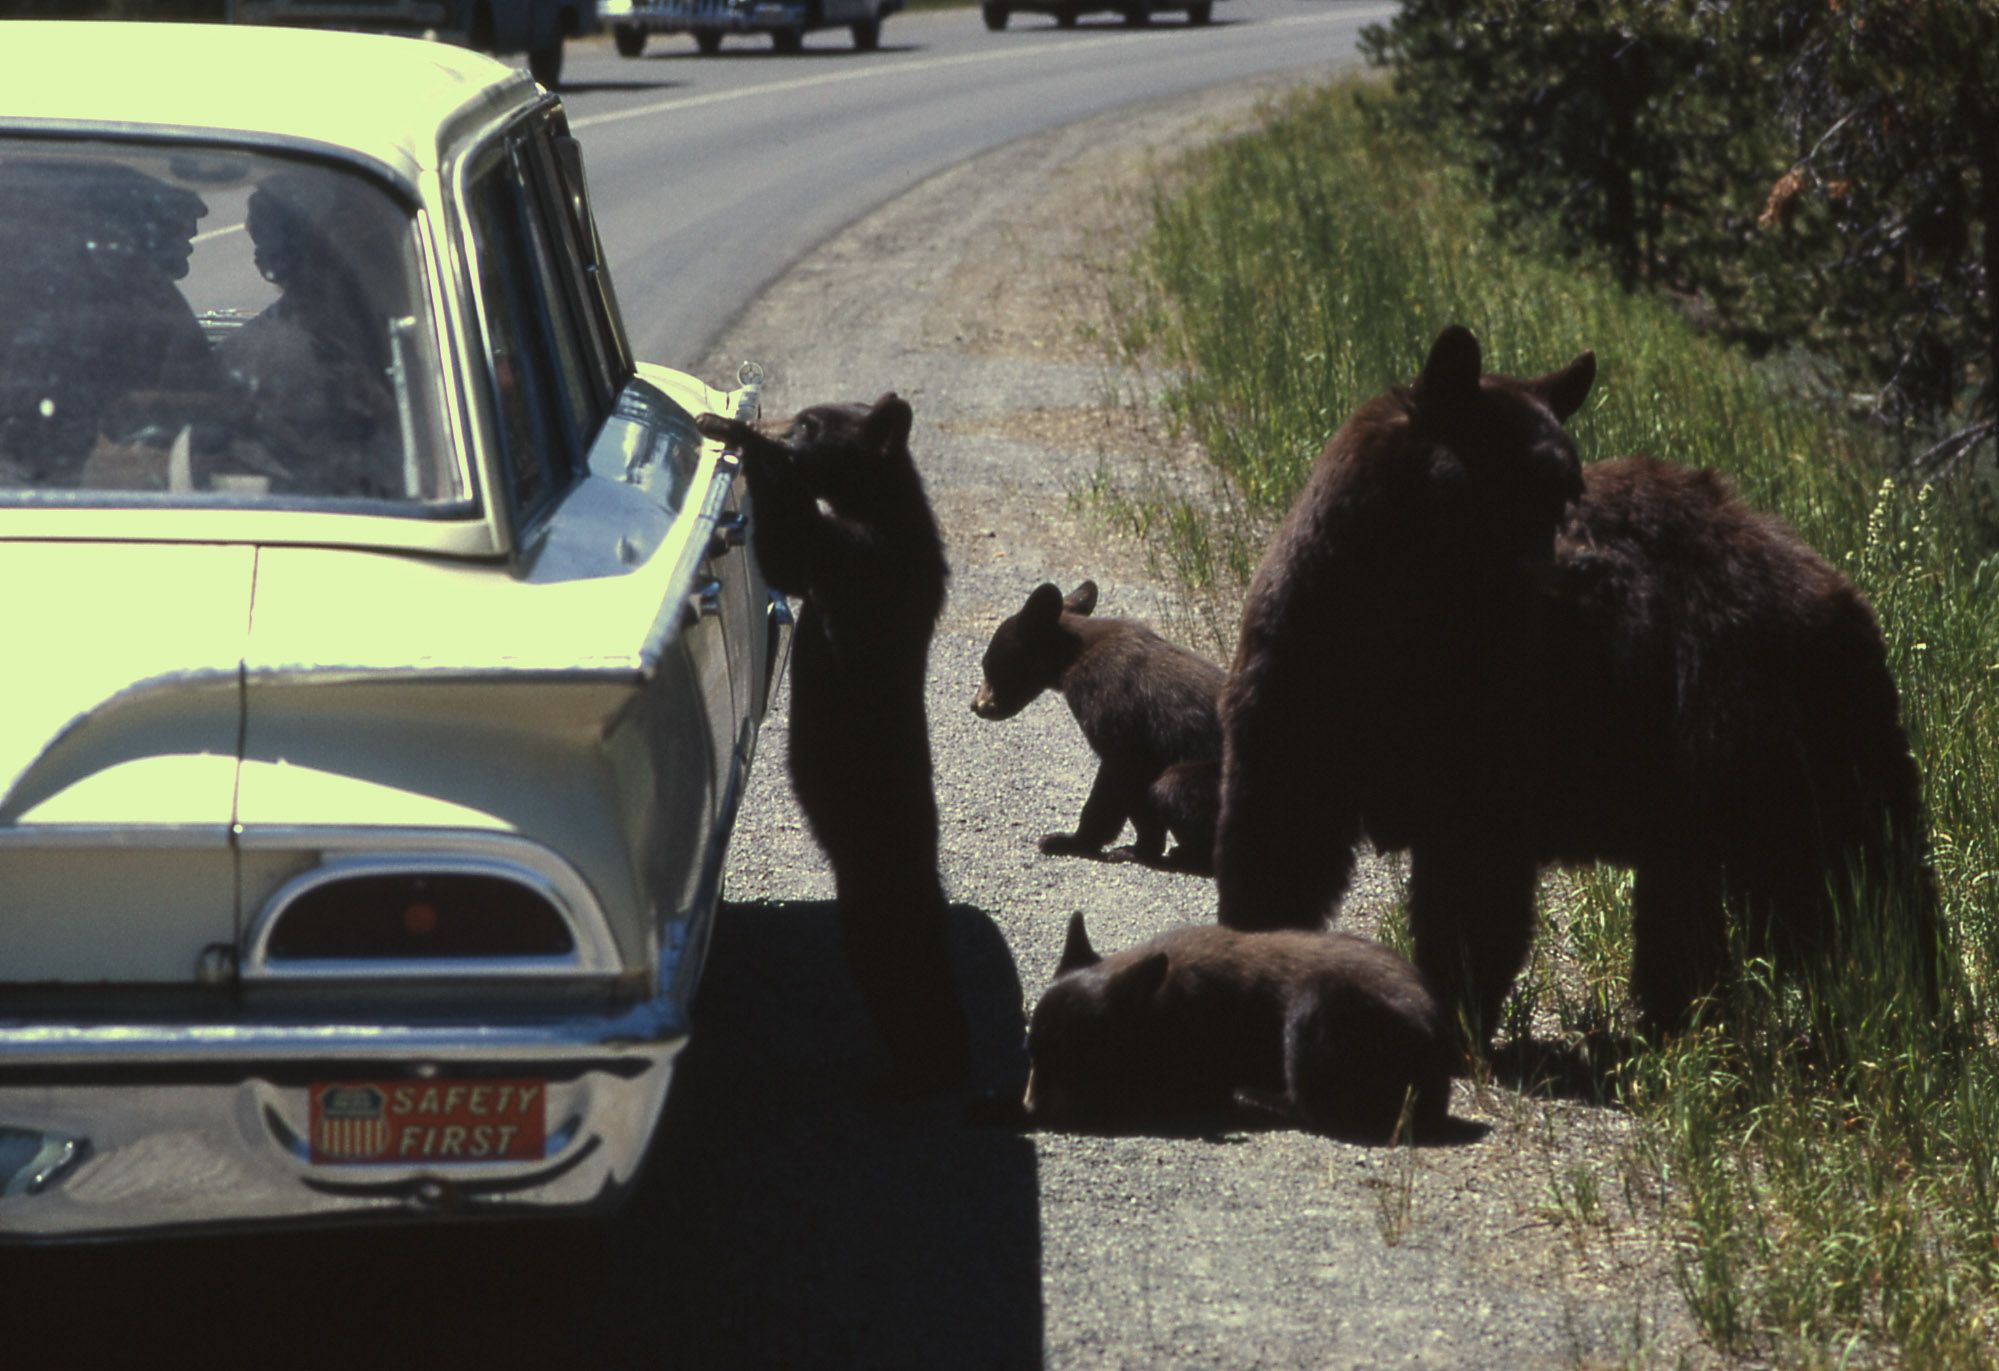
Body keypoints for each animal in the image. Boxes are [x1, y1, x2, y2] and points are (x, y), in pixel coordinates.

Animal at [695, 395, 967, 1095]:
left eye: (809, 424)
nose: (772, 422)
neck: (880, 507)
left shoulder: (859, 561)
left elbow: (792, 550)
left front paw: (734, 432)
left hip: (873, 896)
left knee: (898, 983)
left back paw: (913, 1073)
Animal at [967, 579, 1215, 871]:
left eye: (988, 664)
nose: (976, 705)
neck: (1071, 658)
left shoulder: (1115, 705)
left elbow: (1118, 777)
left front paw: (1071, 841)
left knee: (1172, 787)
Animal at [1207, 327, 1927, 1047]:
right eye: (1519, 486)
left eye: (1569, 484)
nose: (1587, 566)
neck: (1406, 610)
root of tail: (1844, 595)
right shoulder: (1304, 664)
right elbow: (1280, 835)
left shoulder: (1491, 719)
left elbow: (1472, 885)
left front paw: (1456, 1010)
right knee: (1694, 897)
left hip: (1762, 740)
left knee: (1842, 880)